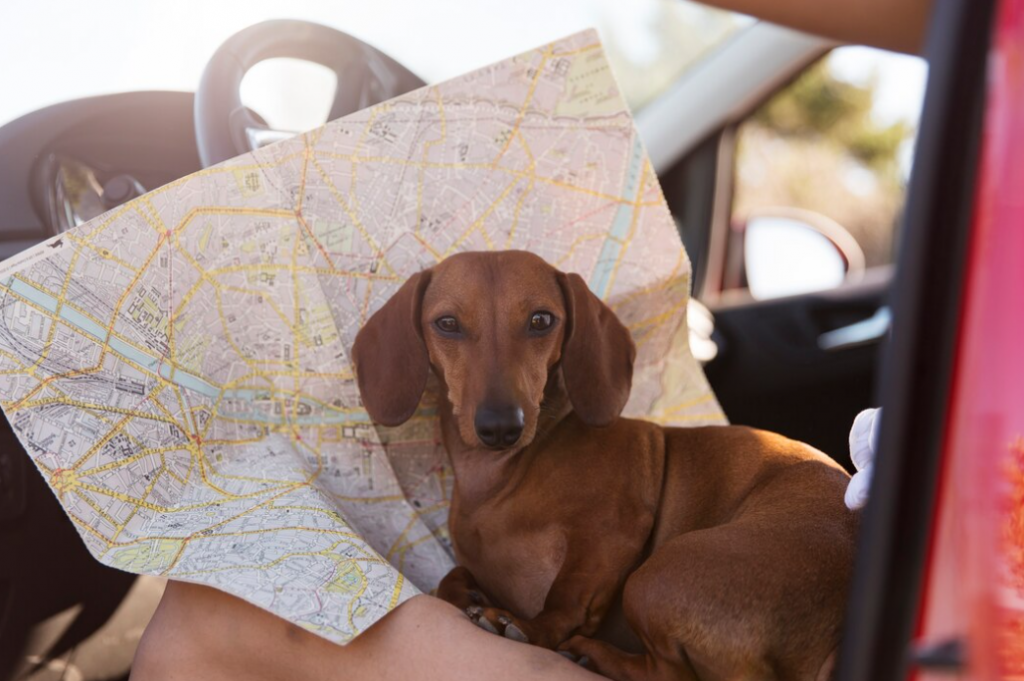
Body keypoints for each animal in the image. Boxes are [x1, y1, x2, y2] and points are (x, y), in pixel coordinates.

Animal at [352, 250, 856, 679]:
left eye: (541, 320)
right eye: (447, 323)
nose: (500, 426)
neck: (502, 477)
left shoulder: (614, 531)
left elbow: (566, 600)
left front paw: (526, 628)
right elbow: (449, 578)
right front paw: (468, 592)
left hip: (655, 578)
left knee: (667, 674)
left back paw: (589, 654)